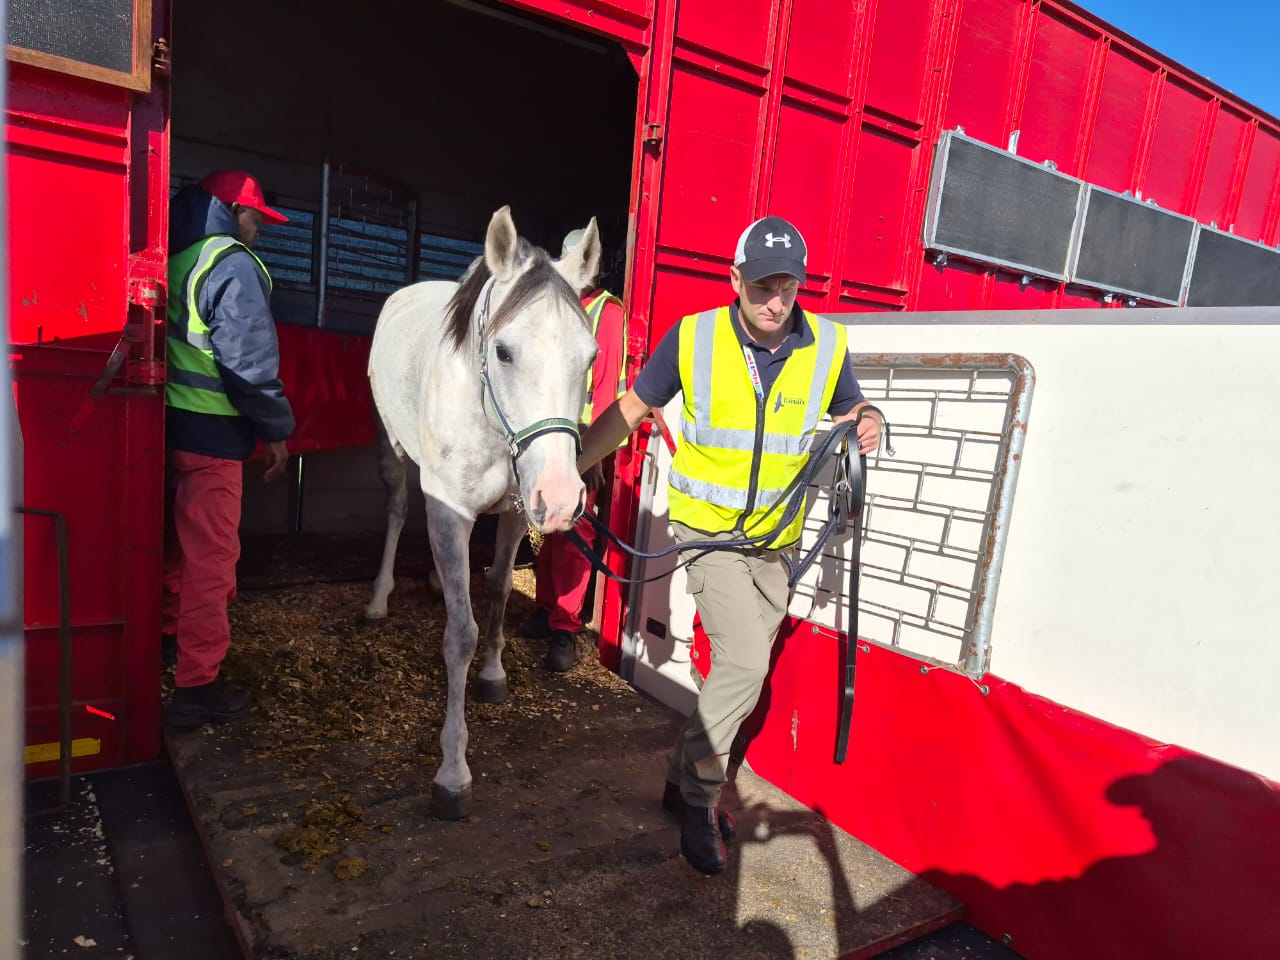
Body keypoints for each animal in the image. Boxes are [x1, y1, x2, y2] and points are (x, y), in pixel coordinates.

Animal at [364, 206, 601, 819]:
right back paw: (378, 599)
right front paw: (452, 771)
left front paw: (493, 675)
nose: (562, 497)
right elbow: (460, 634)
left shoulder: (515, 512)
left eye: (590, 356)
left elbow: (494, 589)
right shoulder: (451, 510)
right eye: (504, 351)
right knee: (396, 508)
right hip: (391, 447)